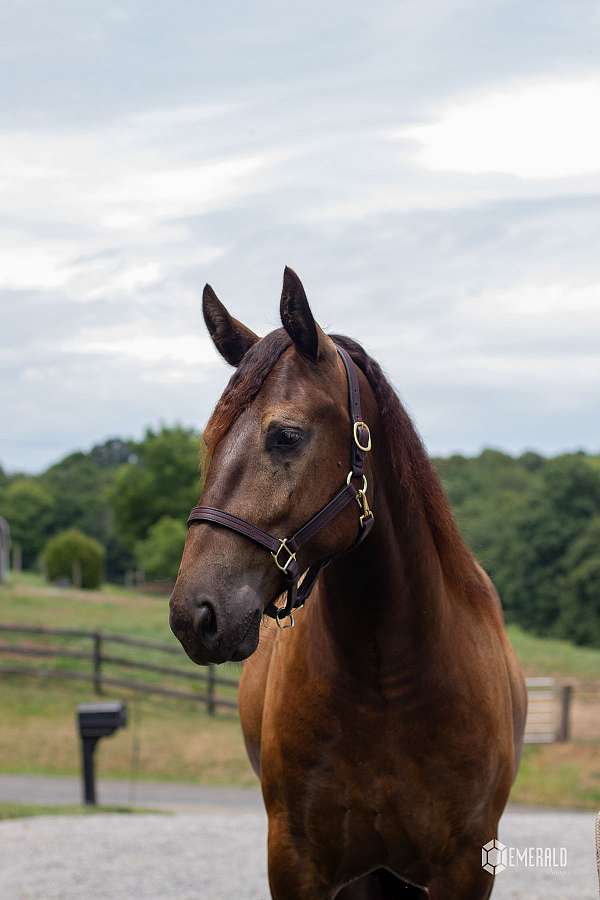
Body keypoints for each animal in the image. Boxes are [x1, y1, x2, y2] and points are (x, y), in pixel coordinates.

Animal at [169, 268, 524, 900]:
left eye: (285, 436)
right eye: (210, 440)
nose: (195, 614)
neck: (388, 684)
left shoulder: (465, 867)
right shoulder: (297, 862)